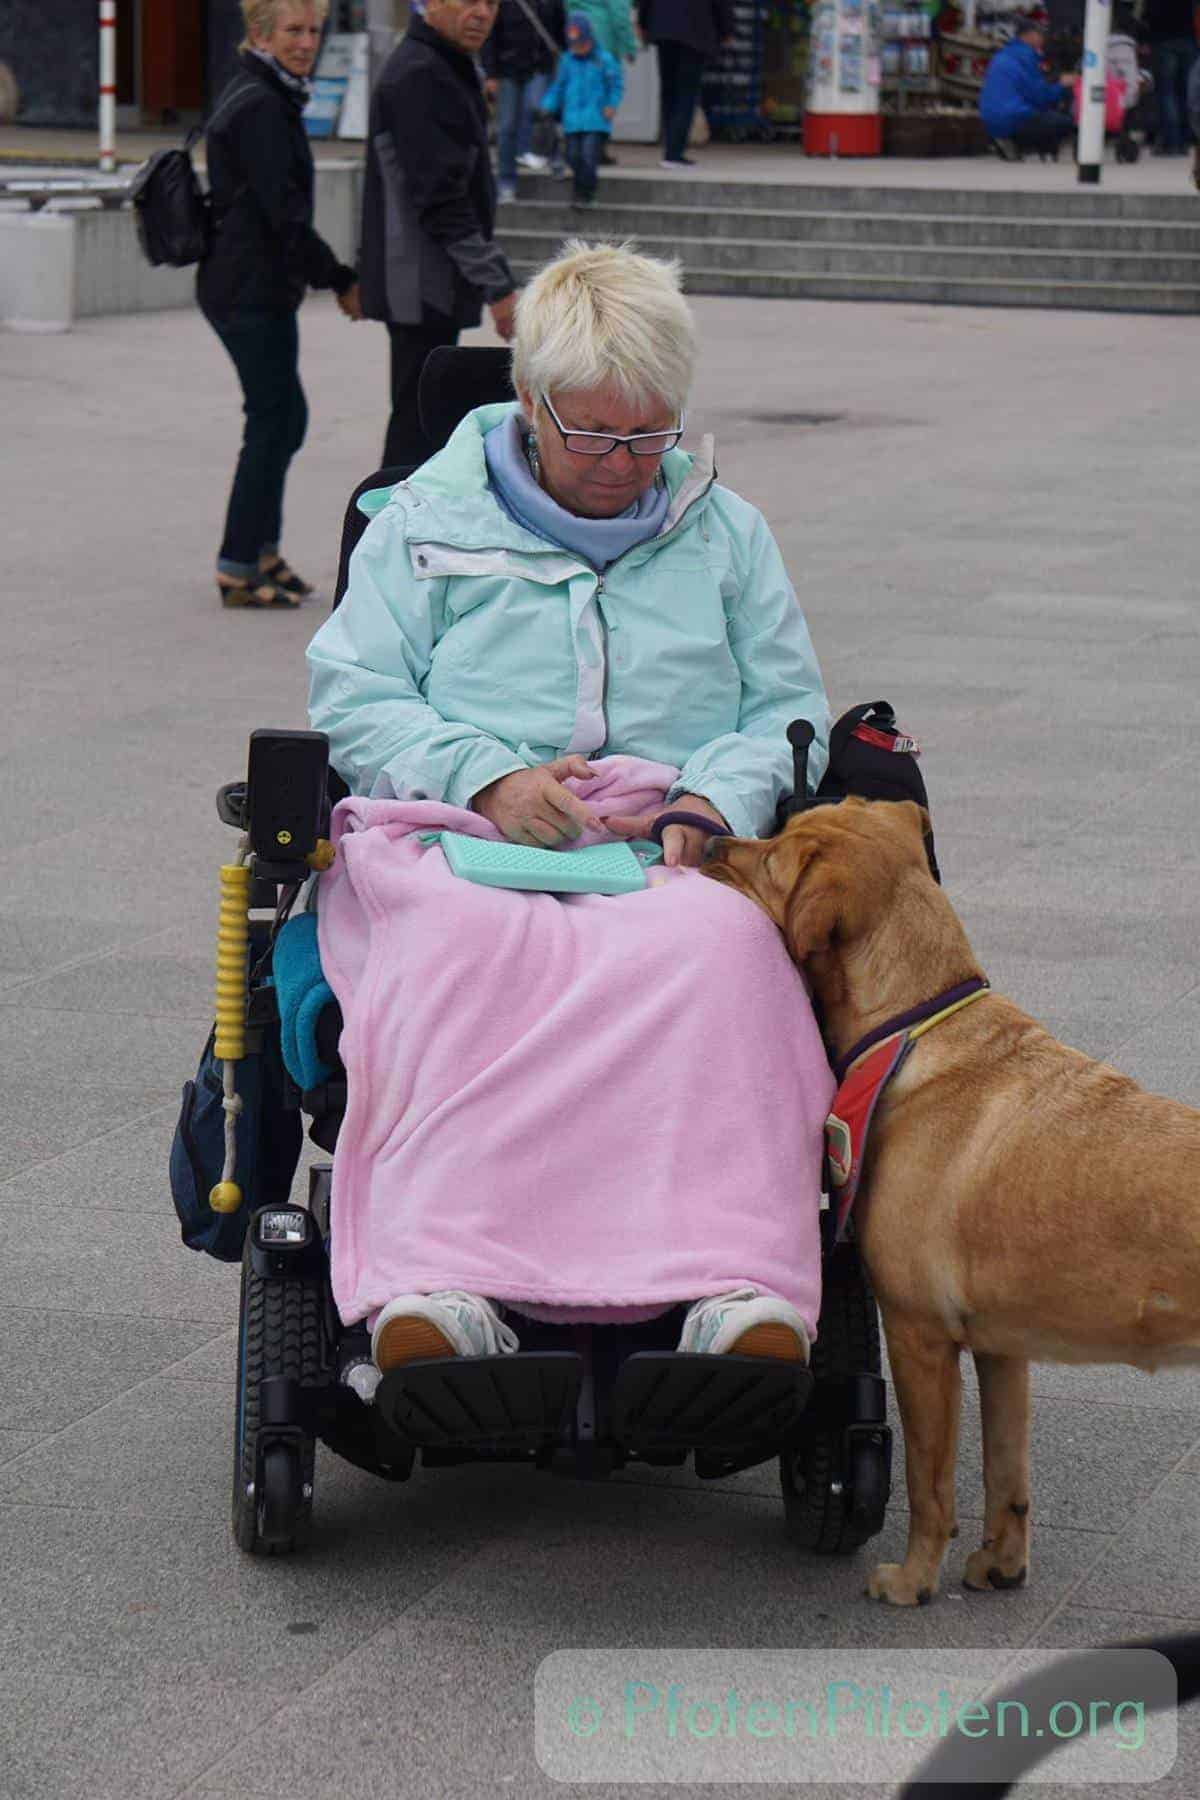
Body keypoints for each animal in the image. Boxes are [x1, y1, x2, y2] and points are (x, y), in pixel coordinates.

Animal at [705, 799, 1200, 1605]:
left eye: (774, 855)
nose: (709, 840)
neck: (910, 1025)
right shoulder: (1004, 1347)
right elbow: (1006, 1472)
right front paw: (1000, 1564)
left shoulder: (919, 1334)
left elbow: (928, 1481)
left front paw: (913, 1579)